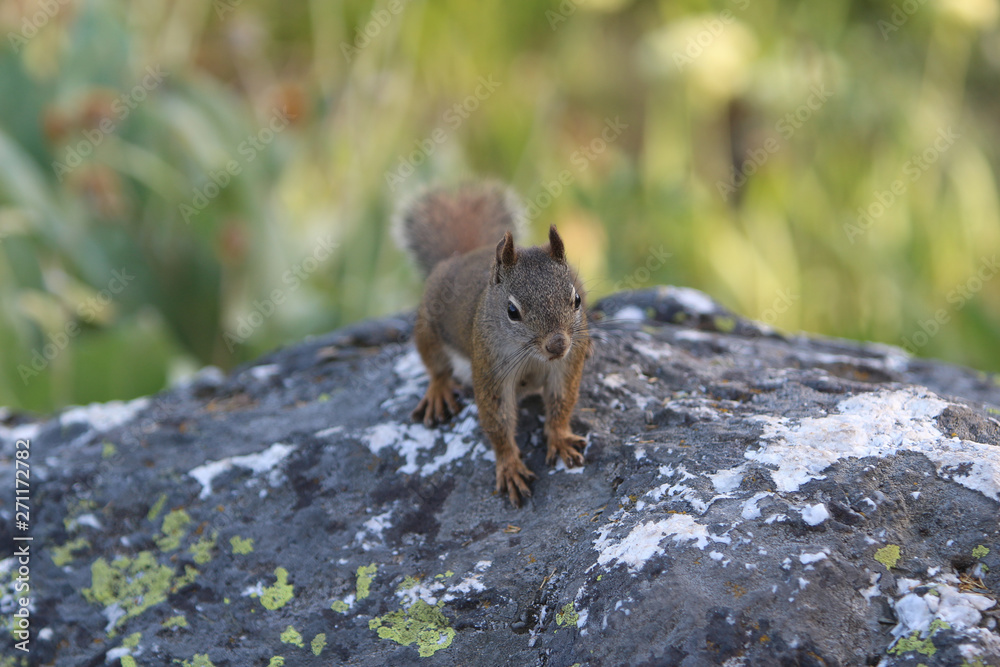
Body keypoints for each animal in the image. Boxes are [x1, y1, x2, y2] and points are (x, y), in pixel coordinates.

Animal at [397, 181, 591, 506]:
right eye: (512, 311)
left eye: (576, 299)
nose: (557, 345)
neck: (532, 356)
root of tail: (465, 254)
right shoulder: (491, 370)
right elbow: (497, 420)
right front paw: (510, 466)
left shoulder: (566, 365)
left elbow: (561, 402)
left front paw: (560, 438)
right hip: (428, 328)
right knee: (436, 367)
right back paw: (438, 391)